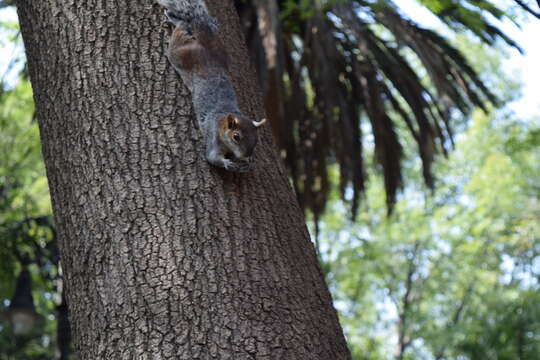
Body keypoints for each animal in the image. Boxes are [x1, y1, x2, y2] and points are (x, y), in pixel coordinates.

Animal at [156, 0, 266, 172]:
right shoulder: (213, 136)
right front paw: (228, 163)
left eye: (256, 139)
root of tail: (207, 46)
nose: (246, 155)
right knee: (178, 36)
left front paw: (246, 161)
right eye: (236, 136)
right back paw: (176, 23)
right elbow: (212, 157)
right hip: (180, 54)